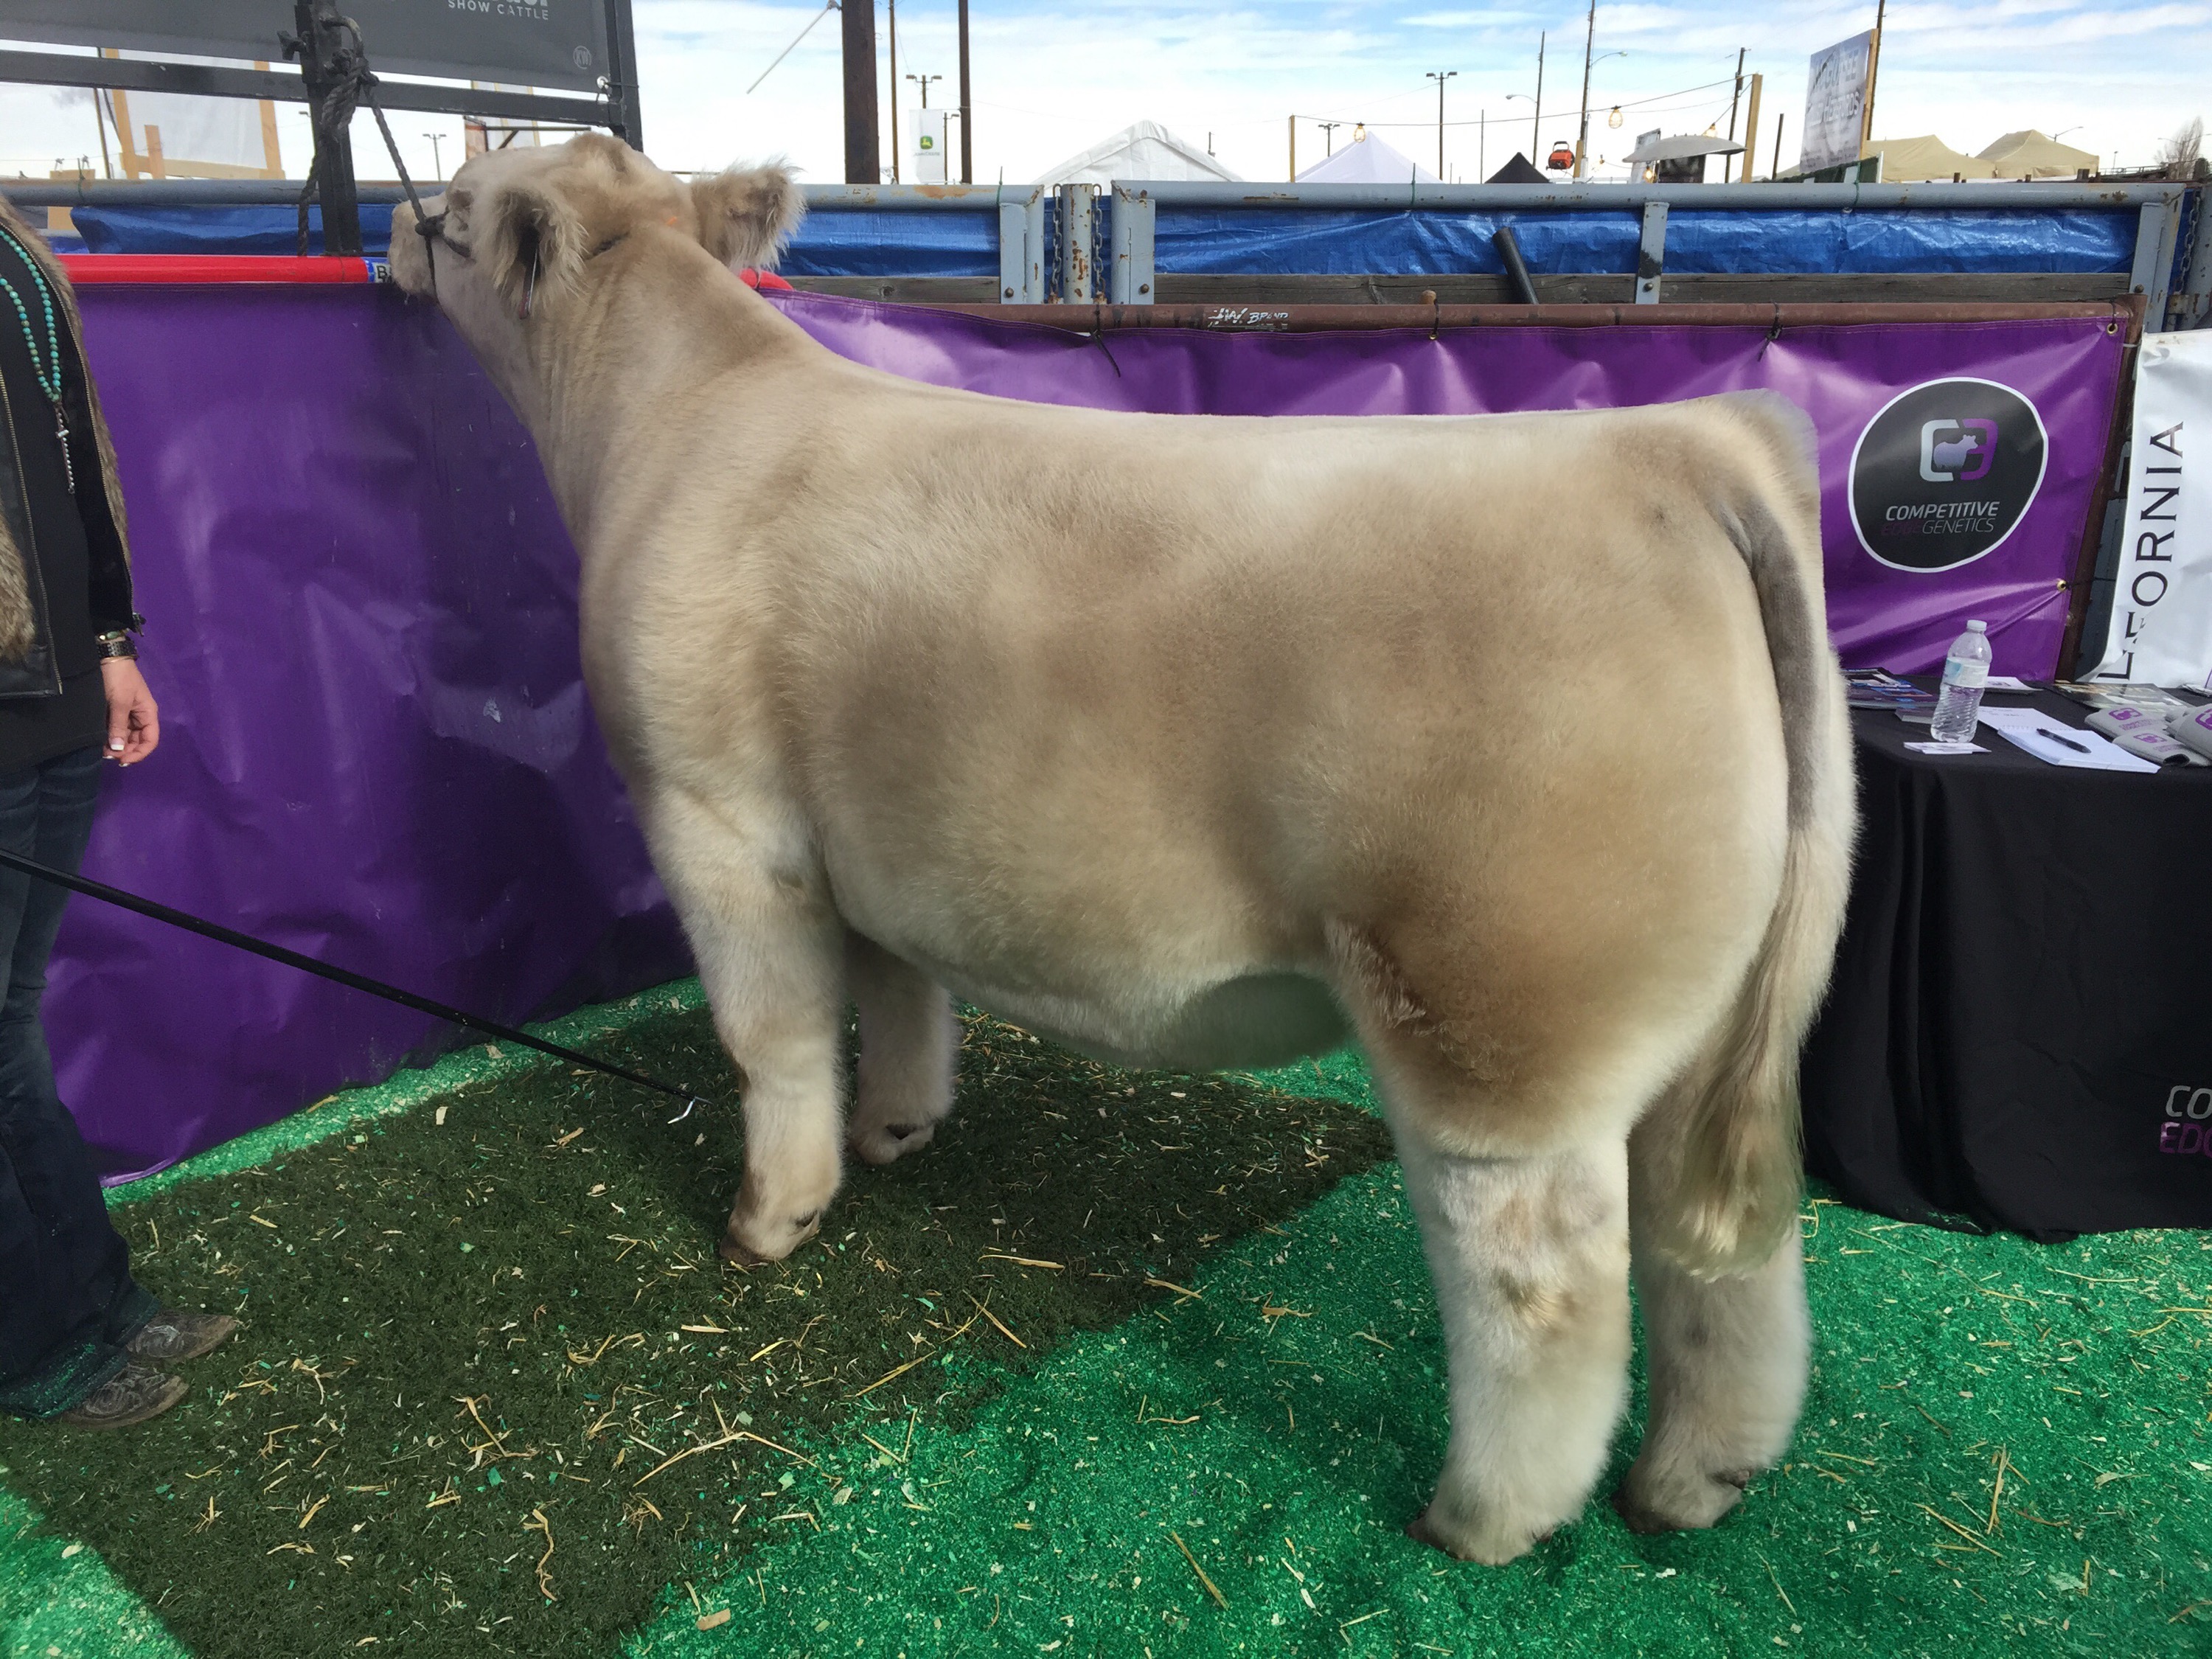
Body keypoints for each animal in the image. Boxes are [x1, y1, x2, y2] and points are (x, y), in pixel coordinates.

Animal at [388, 135, 1856, 1566]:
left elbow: (776, 1037)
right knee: (1724, 1258)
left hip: (1500, 1016)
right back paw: (1693, 1482)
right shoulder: (870, 834)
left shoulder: (718, 821)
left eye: (450, 204)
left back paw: (1482, 1520)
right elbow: (899, 994)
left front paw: (773, 1219)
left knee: (1546, 1286)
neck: (676, 418)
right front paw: (895, 1131)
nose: (390, 230)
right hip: (1696, 1023)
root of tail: (1682, 447)